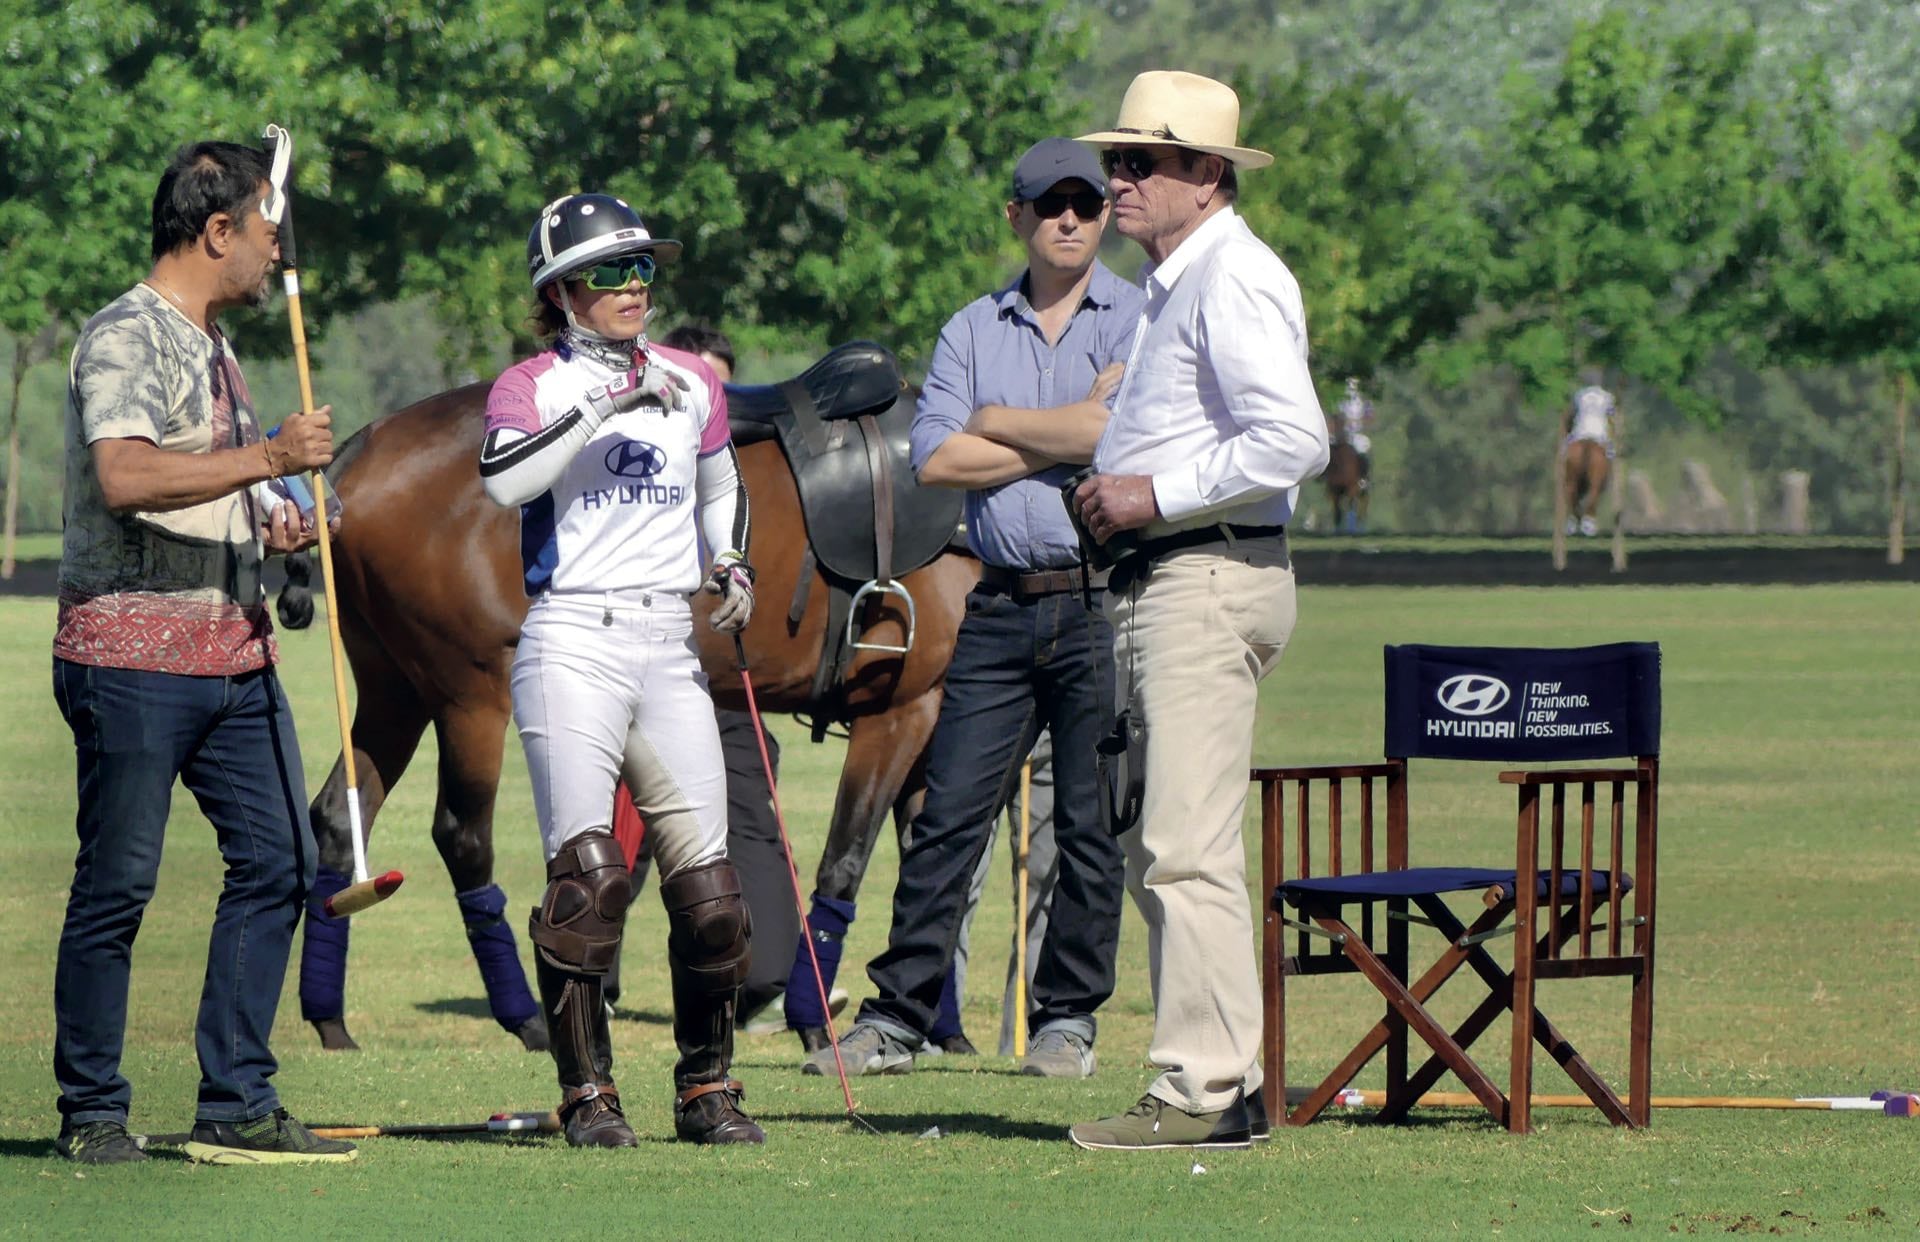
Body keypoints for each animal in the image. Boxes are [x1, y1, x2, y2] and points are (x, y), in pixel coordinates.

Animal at [282, 376, 975, 1051]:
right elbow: (849, 860)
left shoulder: (936, 711)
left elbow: (939, 865)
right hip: (470, 693)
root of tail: (362, 449)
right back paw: (527, 1017)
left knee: (340, 818)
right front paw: (818, 1021)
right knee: (463, 836)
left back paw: (330, 1019)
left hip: (394, 687)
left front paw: (938, 1028)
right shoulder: (901, 710)